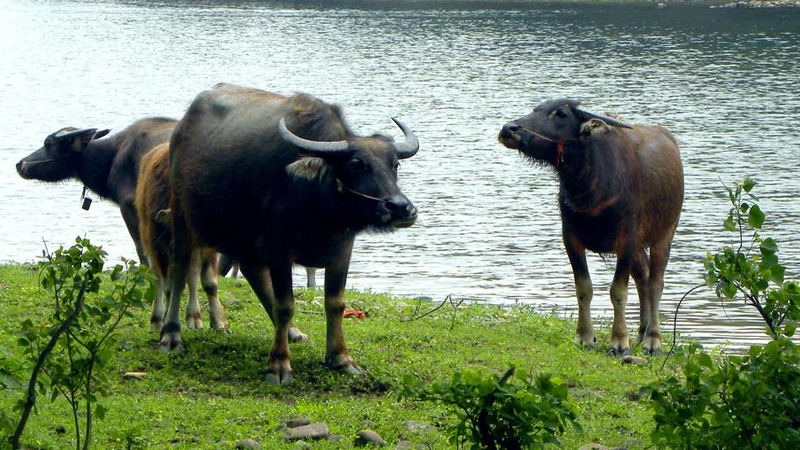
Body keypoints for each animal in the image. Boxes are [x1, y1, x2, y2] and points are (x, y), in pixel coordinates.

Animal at [134, 144, 228, 334]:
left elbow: (209, 283)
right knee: (158, 280)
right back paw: (157, 320)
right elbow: (169, 287)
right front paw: (167, 320)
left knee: (191, 277)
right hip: (151, 245)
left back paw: (194, 317)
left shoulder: (206, 249)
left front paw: (219, 322)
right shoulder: (161, 247)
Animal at [163, 81, 418, 384]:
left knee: (252, 272)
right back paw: (171, 336)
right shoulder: (279, 247)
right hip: (182, 216)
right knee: (179, 270)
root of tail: (181, 130)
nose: (401, 207)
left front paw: (341, 358)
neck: (319, 205)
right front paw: (279, 365)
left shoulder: (342, 250)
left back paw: (293, 333)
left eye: (395, 164)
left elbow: (335, 303)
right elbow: (285, 304)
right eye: (357, 164)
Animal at [500, 98, 680, 356]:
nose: (509, 129)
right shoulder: (571, 238)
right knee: (643, 277)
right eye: (536, 110)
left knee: (656, 283)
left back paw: (652, 340)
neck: (591, 187)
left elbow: (618, 292)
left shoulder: (627, 241)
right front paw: (584, 337)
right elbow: (584, 288)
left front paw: (619, 342)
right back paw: (641, 332)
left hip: (665, 233)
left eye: (561, 114)